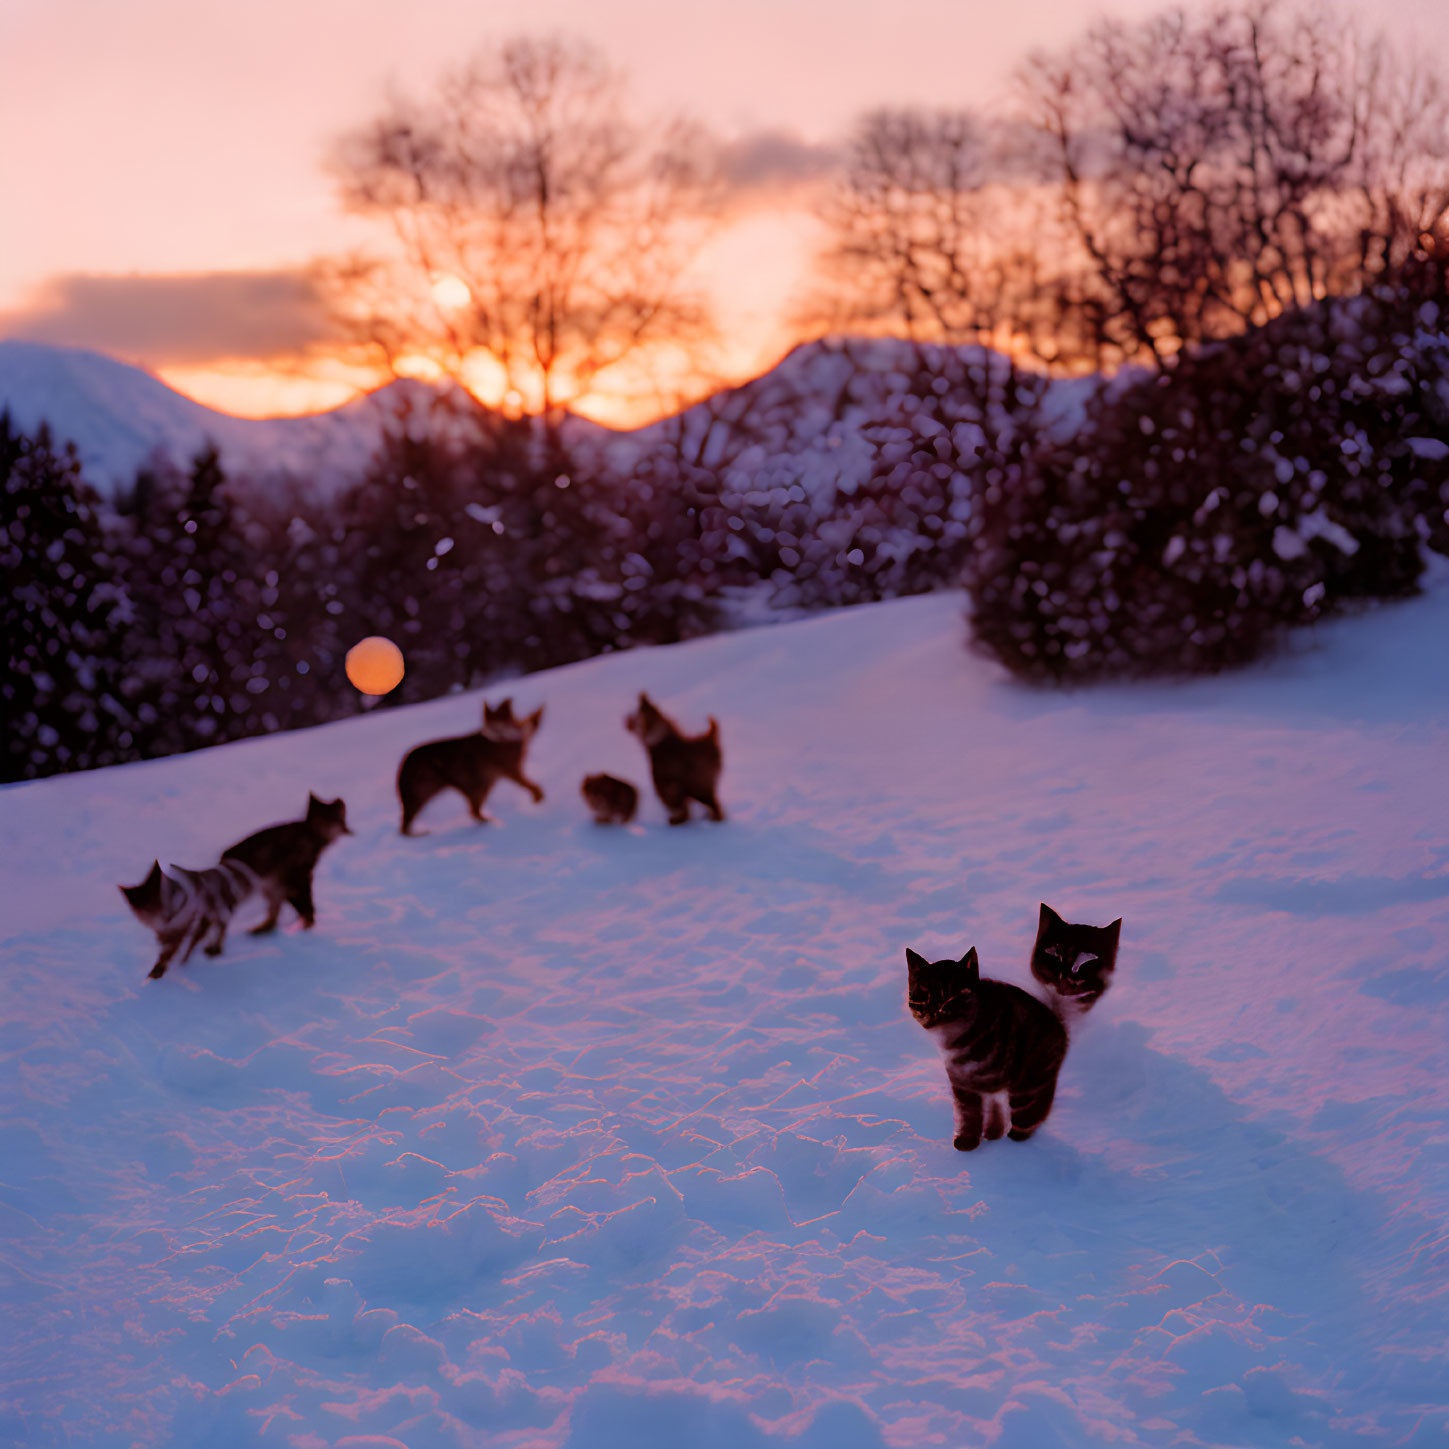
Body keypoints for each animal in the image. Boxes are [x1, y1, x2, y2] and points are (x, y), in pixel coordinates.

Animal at [119, 857, 260, 985]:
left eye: (158, 905)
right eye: (145, 909)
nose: (168, 917)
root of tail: (225, 874)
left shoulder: (181, 928)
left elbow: (169, 952)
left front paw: (159, 969)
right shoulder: (167, 930)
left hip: (214, 916)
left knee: (217, 931)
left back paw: (212, 950)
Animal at [397, 692, 544, 834]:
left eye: (501, 720)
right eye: (495, 723)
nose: (498, 732)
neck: (499, 738)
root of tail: (403, 765)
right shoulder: (511, 770)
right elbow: (529, 784)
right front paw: (538, 796)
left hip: (478, 785)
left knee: (473, 811)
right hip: (428, 793)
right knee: (405, 827)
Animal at [628, 692, 730, 828]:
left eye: (635, 716)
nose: (626, 721)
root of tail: (710, 739)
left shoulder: (666, 785)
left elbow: (677, 805)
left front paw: (677, 820)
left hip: (698, 785)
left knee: (714, 805)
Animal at [909, 944, 1072, 1147]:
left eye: (953, 995)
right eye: (924, 991)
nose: (935, 1009)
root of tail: (1060, 1024)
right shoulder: (961, 1082)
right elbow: (968, 1111)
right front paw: (968, 1140)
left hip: (1032, 1074)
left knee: (1033, 1106)